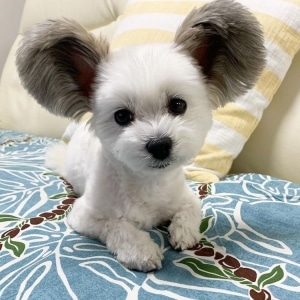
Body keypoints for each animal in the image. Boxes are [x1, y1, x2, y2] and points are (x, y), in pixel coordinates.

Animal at [16, 0, 264, 272]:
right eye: (122, 116)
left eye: (178, 105)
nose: (159, 145)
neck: (147, 182)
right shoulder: (85, 217)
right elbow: (118, 226)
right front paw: (141, 250)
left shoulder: (185, 197)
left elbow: (190, 211)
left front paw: (183, 232)